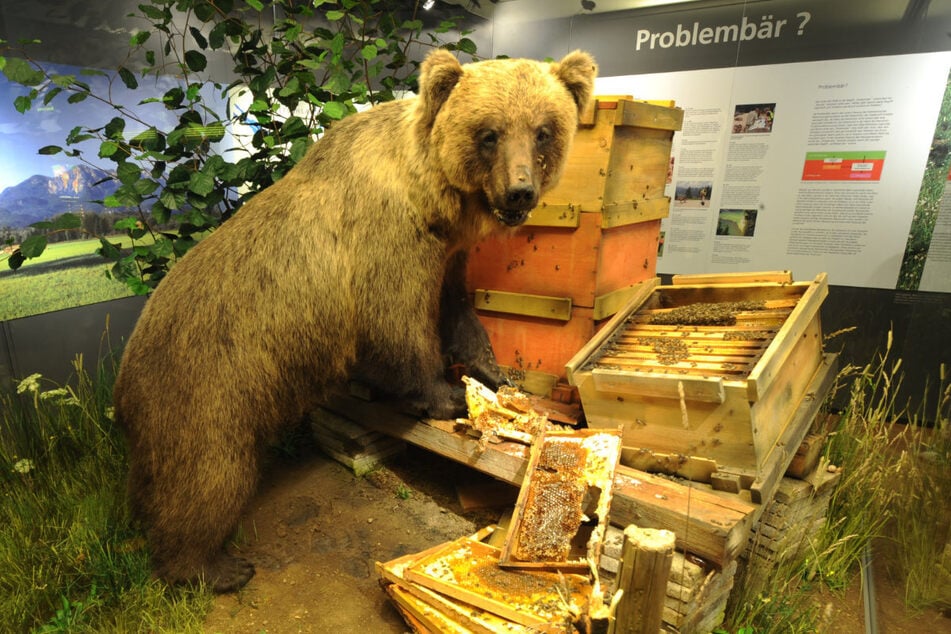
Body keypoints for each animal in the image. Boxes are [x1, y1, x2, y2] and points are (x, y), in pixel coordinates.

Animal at [112, 48, 598, 593]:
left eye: (543, 131)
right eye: (489, 132)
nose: (520, 191)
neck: (431, 196)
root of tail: (125, 375)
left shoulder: (447, 253)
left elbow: (456, 309)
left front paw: (494, 372)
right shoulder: (386, 242)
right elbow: (397, 324)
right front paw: (445, 395)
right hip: (207, 388)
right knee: (209, 476)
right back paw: (212, 566)